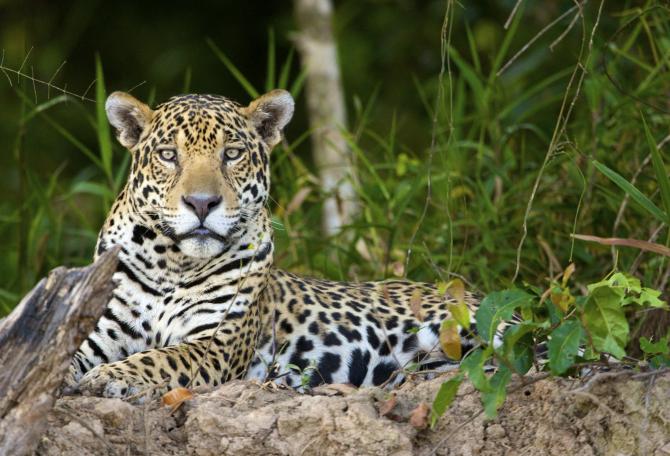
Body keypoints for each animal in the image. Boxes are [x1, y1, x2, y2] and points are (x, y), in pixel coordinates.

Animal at [66, 89, 481, 400]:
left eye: (232, 154)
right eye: (169, 155)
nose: (201, 203)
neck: (172, 262)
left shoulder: (215, 344)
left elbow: (158, 358)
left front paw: (107, 377)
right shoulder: (95, 330)